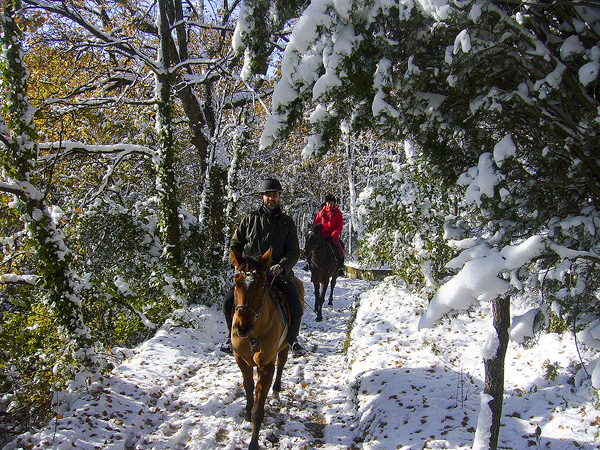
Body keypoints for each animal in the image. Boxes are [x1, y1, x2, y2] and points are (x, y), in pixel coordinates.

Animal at [230, 248, 304, 450]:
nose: (242, 327)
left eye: (263, 285)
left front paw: (253, 442)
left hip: (284, 345)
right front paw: (247, 413)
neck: (254, 333)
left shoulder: (266, 366)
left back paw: (277, 390)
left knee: (282, 363)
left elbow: (259, 408)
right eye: (236, 281)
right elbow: (248, 387)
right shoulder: (241, 359)